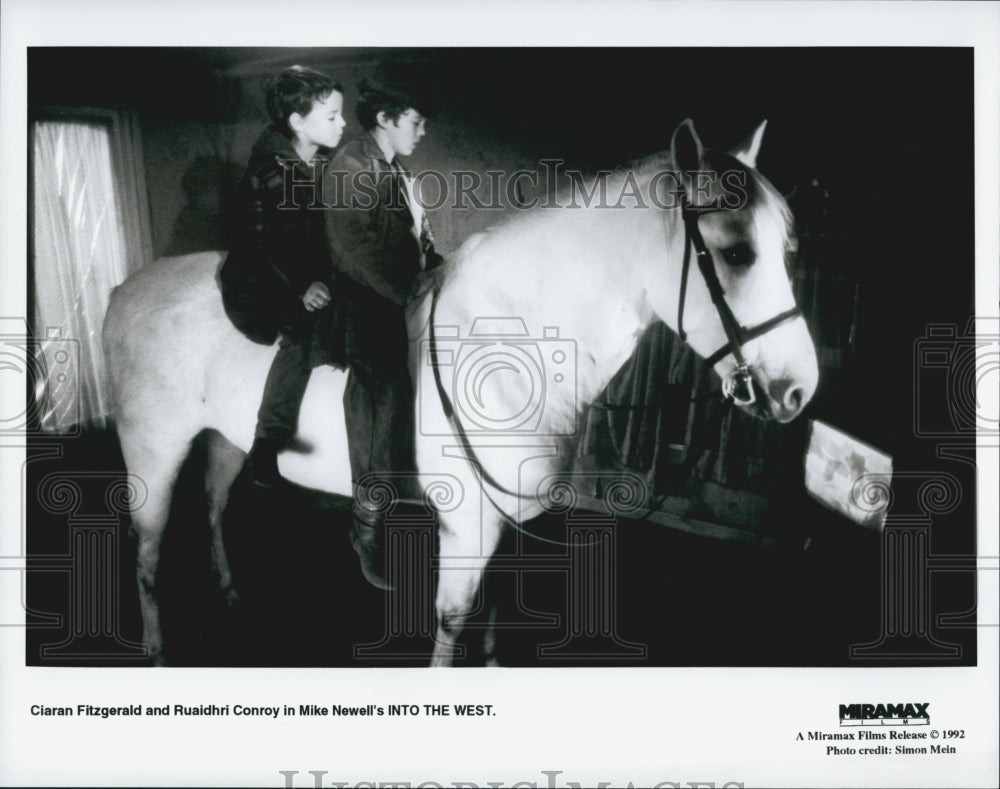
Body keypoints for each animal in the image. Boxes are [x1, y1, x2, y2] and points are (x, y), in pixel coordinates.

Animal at [105, 120, 816, 660]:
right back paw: (156, 647)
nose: (799, 390)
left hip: (222, 438)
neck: (511, 347)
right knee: (147, 551)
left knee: (213, 506)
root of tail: (125, 289)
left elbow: (495, 611)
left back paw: (229, 591)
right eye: (737, 252)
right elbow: (453, 622)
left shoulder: (504, 521)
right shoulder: (468, 527)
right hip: (153, 452)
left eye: (785, 248)